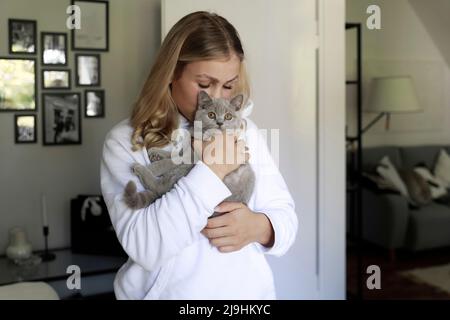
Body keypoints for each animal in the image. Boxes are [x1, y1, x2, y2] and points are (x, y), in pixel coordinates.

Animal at [125, 90, 255, 215]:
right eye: (211, 115)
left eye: (228, 116)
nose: (219, 123)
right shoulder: (187, 149)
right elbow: (174, 154)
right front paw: (156, 152)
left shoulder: (192, 157)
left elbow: (168, 162)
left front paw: (153, 166)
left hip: (185, 170)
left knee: (159, 187)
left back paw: (138, 168)